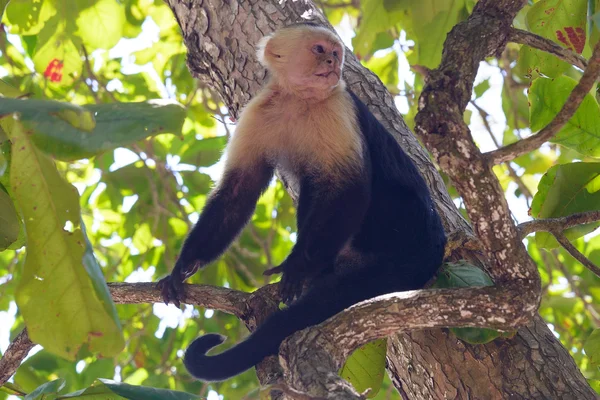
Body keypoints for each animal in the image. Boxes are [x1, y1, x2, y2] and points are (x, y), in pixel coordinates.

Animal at [157, 23, 448, 382]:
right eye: (320, 50)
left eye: (335, 53)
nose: (333, 63)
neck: (298, 99)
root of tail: (434, 245)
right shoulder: (258, 112)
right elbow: (238, 191)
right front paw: (185, 265)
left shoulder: (338, 106)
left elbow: (350, 188)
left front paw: (296, 266)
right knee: (311, 188)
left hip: (407, 236)